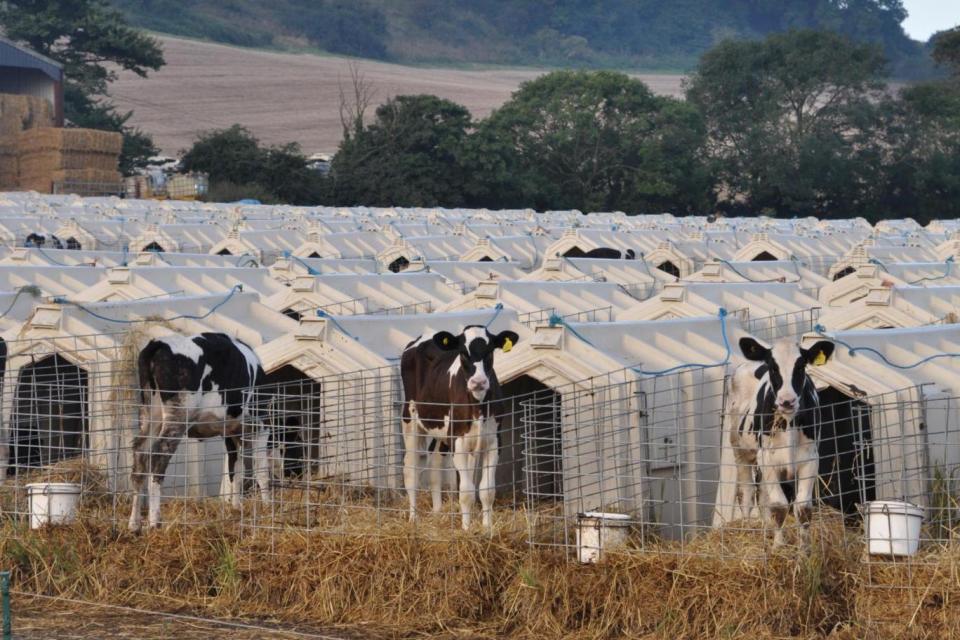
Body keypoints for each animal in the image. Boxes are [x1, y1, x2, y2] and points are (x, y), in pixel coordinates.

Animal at [127, 332, 270, 532]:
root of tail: (159, 344)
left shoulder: (230, 432)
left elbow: (235, 470)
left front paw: (236, 508)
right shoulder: (261, 424)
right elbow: (261, 470)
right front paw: (268, 509)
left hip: (150, 416)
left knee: (140, 455)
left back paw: (134, 523)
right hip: (177, 416)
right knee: (159, 456)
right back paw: (155, 521)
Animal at [398, 324, 516, 528]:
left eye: (490, 350)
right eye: (463, 353)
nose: (478, 382)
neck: (478, 406)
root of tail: (423, 336)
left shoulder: (494, 441)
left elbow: (487, 490)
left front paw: (487, 528)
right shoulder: (458, 441)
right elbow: (466, 491)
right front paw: (467, 529)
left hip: (442, 431)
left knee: (435, 463)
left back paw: (437, 512)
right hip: (410, 419)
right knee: (411, 468)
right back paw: (414, 518)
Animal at [728, 338, 832, 544]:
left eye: (800, 366)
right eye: (773, 367)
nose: (787, 401)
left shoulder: (810, 459)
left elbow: (803, 508)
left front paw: (805, 548)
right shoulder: (768, 459)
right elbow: (779, 505)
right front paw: (779, 546)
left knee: (762, 495)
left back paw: (766, 528)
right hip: (741, 451)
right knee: (747, 494)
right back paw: (748, 530)